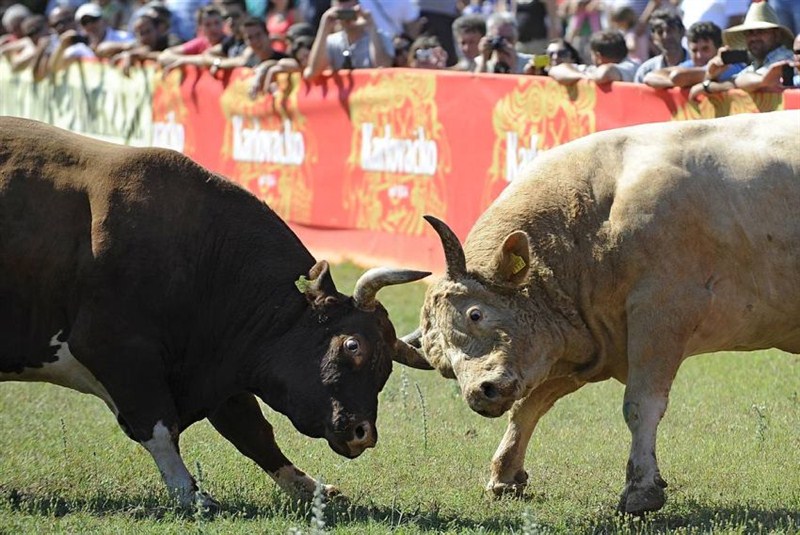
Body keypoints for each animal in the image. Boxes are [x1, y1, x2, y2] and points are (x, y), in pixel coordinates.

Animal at [0, 118, 434, 510]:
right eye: (352, 345)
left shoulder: (230, 358)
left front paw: (312, 489)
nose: (364, 433)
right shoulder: (115, 350)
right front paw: (191, 495)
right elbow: (159, 427)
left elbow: (253, 432)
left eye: (386, 369)